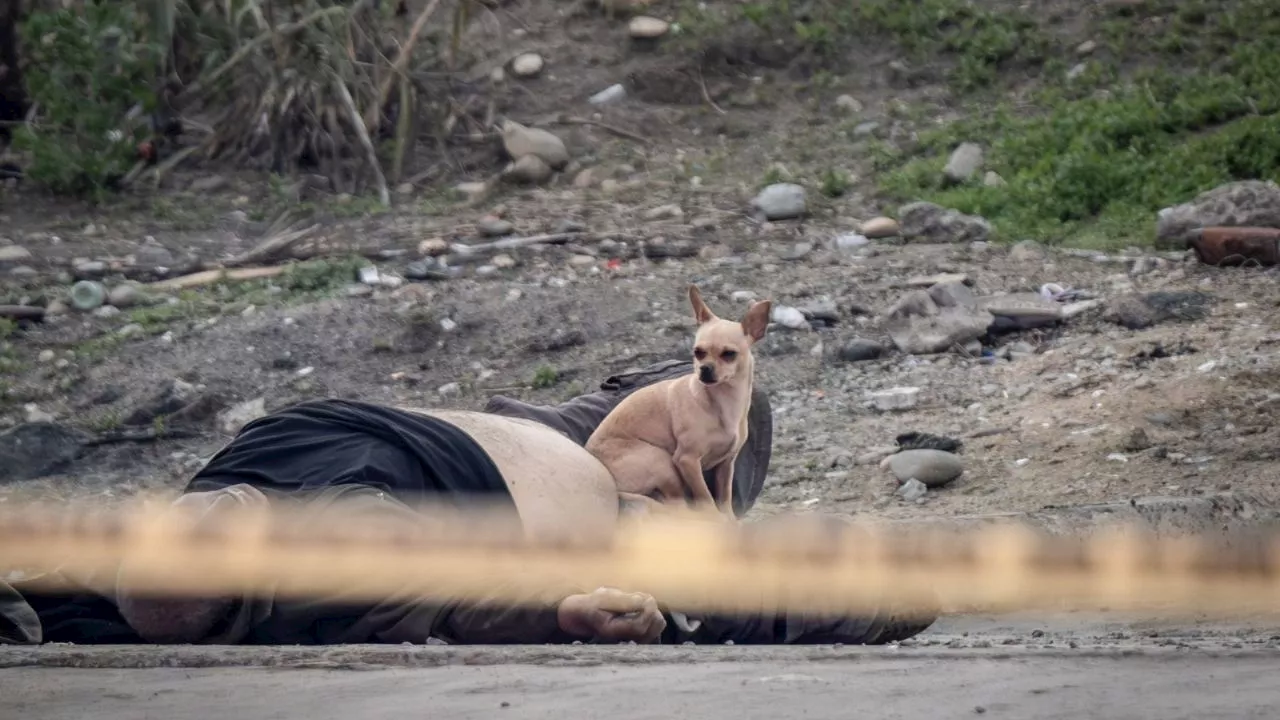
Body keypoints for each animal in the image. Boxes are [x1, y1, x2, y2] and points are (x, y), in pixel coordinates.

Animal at [586, 283, 768, 512]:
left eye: (729, 354)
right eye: (698, 352)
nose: (704, 369)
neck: (723, 402)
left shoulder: (726, 465)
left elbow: (724, 501)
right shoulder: (686, 460)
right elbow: (707, 500)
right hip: (662, 461)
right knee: (678, 506)